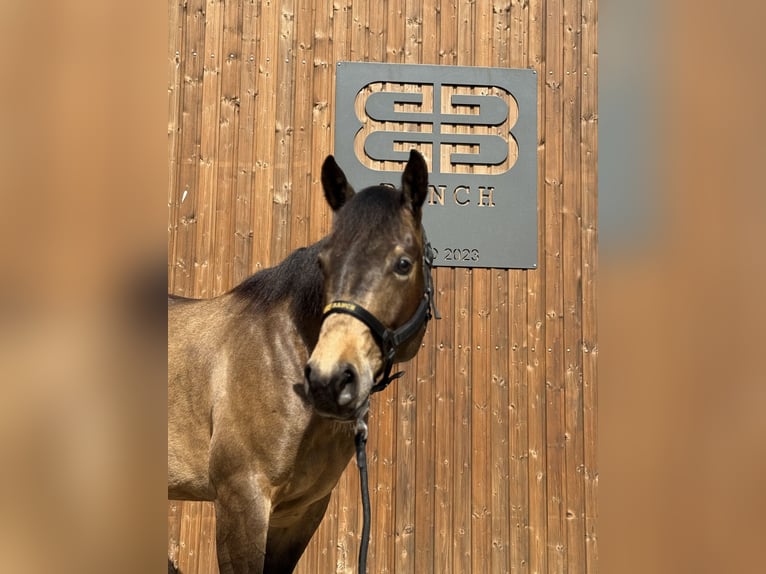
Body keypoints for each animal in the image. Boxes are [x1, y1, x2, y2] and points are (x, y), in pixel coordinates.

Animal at [168, 150, 435, 573]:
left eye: (403, 263)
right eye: (324, 263)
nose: (329, 380)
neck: (280, 354)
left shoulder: (300, 512)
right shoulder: (241, 500)